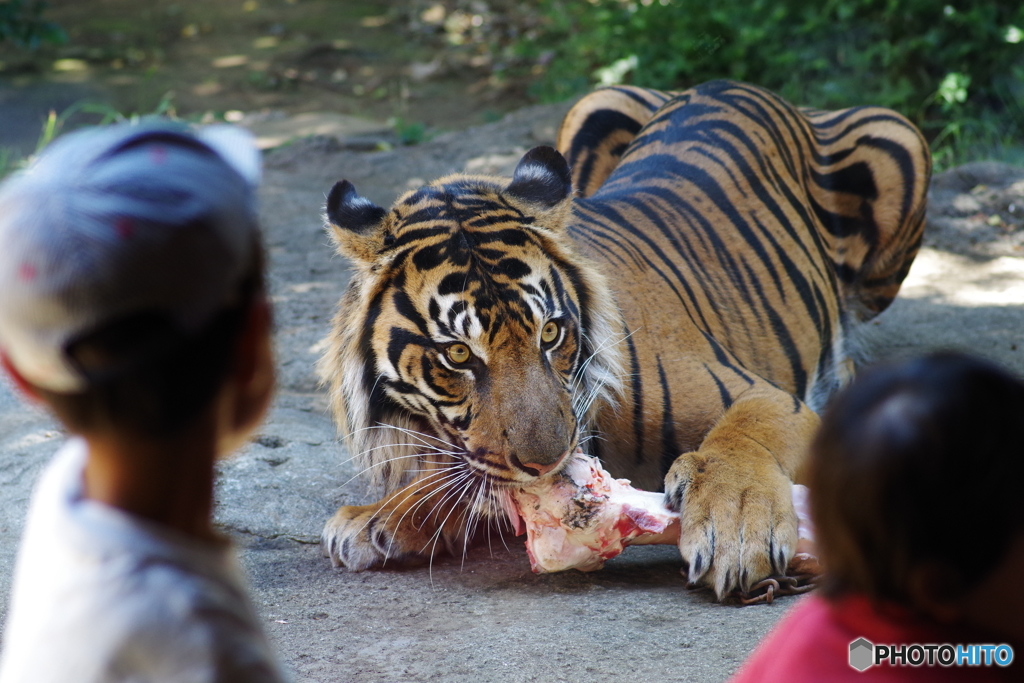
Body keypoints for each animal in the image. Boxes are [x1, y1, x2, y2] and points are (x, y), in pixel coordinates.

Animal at [315, 78, 933, 598]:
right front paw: (378, 518)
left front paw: (736, 529)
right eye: (459, 354)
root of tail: (733, 83)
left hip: (899, 146)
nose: (546, 464)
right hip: (593, 106)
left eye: (550, 333)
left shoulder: (768, 396)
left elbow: (742, 443)